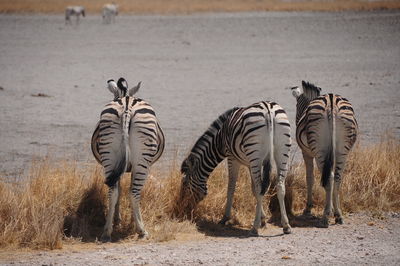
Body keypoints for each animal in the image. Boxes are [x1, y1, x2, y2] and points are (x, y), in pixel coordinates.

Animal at [90, 77, 164, 241]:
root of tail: (126, 106)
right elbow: (129, 189)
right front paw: (132, 220)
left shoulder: (118, 167)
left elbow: (120, 190)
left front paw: (117, 219)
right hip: (142, 161)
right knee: (134, 192)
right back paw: (141, 230)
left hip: (109, 154)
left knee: (112, 191)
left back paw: (107, 232)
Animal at [180, 101, 292, 236]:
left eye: (185, 184)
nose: (185, 211)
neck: (219, 139)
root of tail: (268, 109)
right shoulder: (250, 163)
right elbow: (254, 190)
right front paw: (263, 220)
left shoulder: (232, 158)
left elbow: (232, 187)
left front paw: (225, 218)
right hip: (281, 151)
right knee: (279, 186)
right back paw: (286, 226)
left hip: (255, 152)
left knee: (261, 187)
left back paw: (254, 228)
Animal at [290, 80, 360, 227]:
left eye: (297, 106)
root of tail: (331, 103)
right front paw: (332, 209)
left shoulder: (307, 153)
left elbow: (309, 178)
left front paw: (308, 208)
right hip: (342, 150)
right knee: (337, 178)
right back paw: (338, 215)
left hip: (320, 150)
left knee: (329, 177)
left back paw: (325, 216)